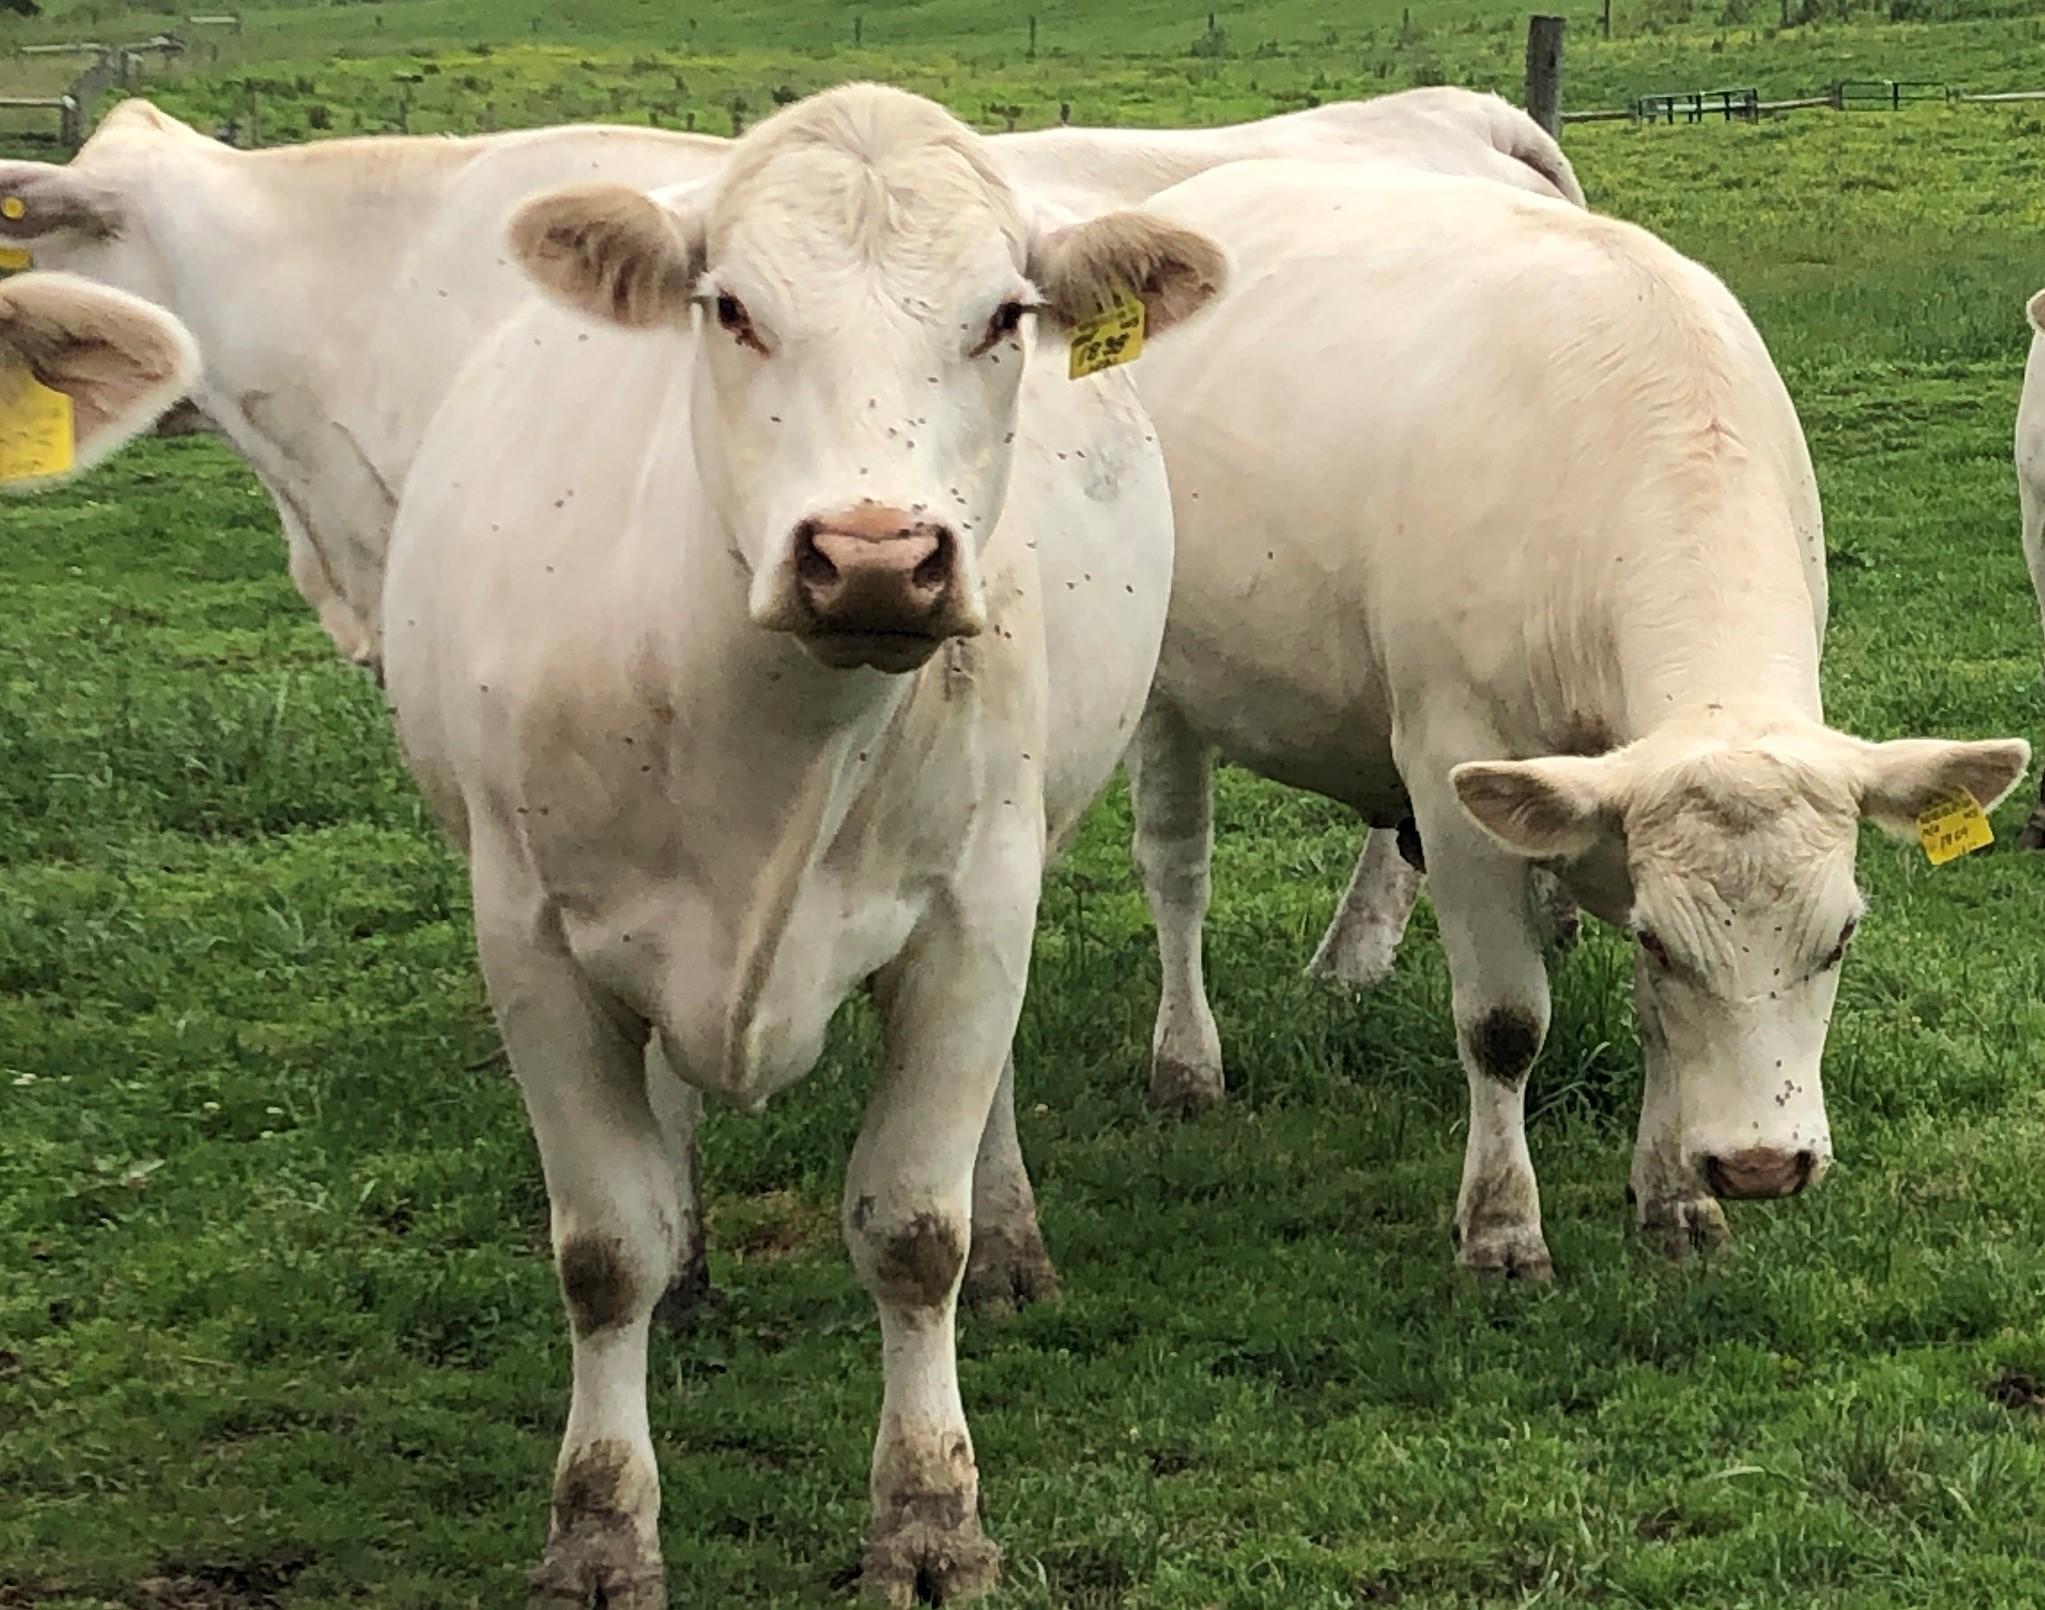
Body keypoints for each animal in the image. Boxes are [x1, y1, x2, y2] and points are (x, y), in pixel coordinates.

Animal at [382, 84, 1218, 1595]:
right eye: (728, 307)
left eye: (1003, 315)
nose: (877, 555)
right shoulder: (527, 937)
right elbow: (604, 1248)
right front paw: (599, 1529)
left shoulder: (974, 911)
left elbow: (913, 1228)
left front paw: (931, 1518)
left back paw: (1010, 1240)